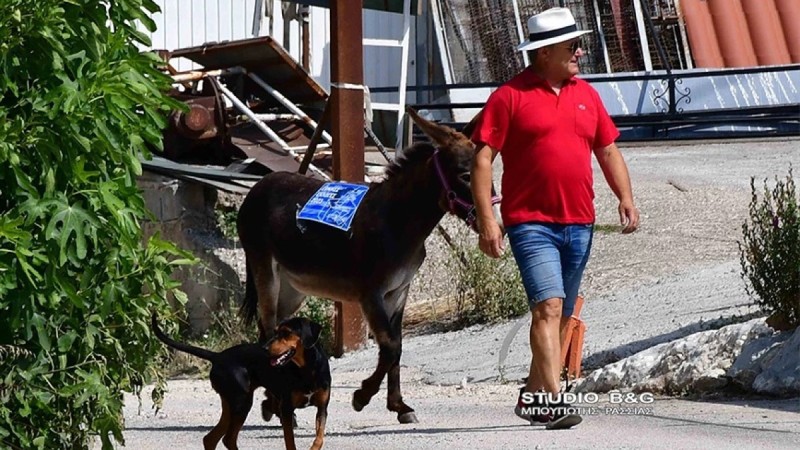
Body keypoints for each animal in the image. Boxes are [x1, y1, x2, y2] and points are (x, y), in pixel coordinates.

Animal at [153, 314, 332, 448]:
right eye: (275, 332)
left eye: (286, 333)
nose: (265, 349)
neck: (307, 369)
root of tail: (218, 356)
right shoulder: (286, 409)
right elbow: (290, 442)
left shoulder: (322, 408)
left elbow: (319, 438)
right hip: (241, 402)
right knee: (227, 438)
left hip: (232, 405)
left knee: (211, 438)